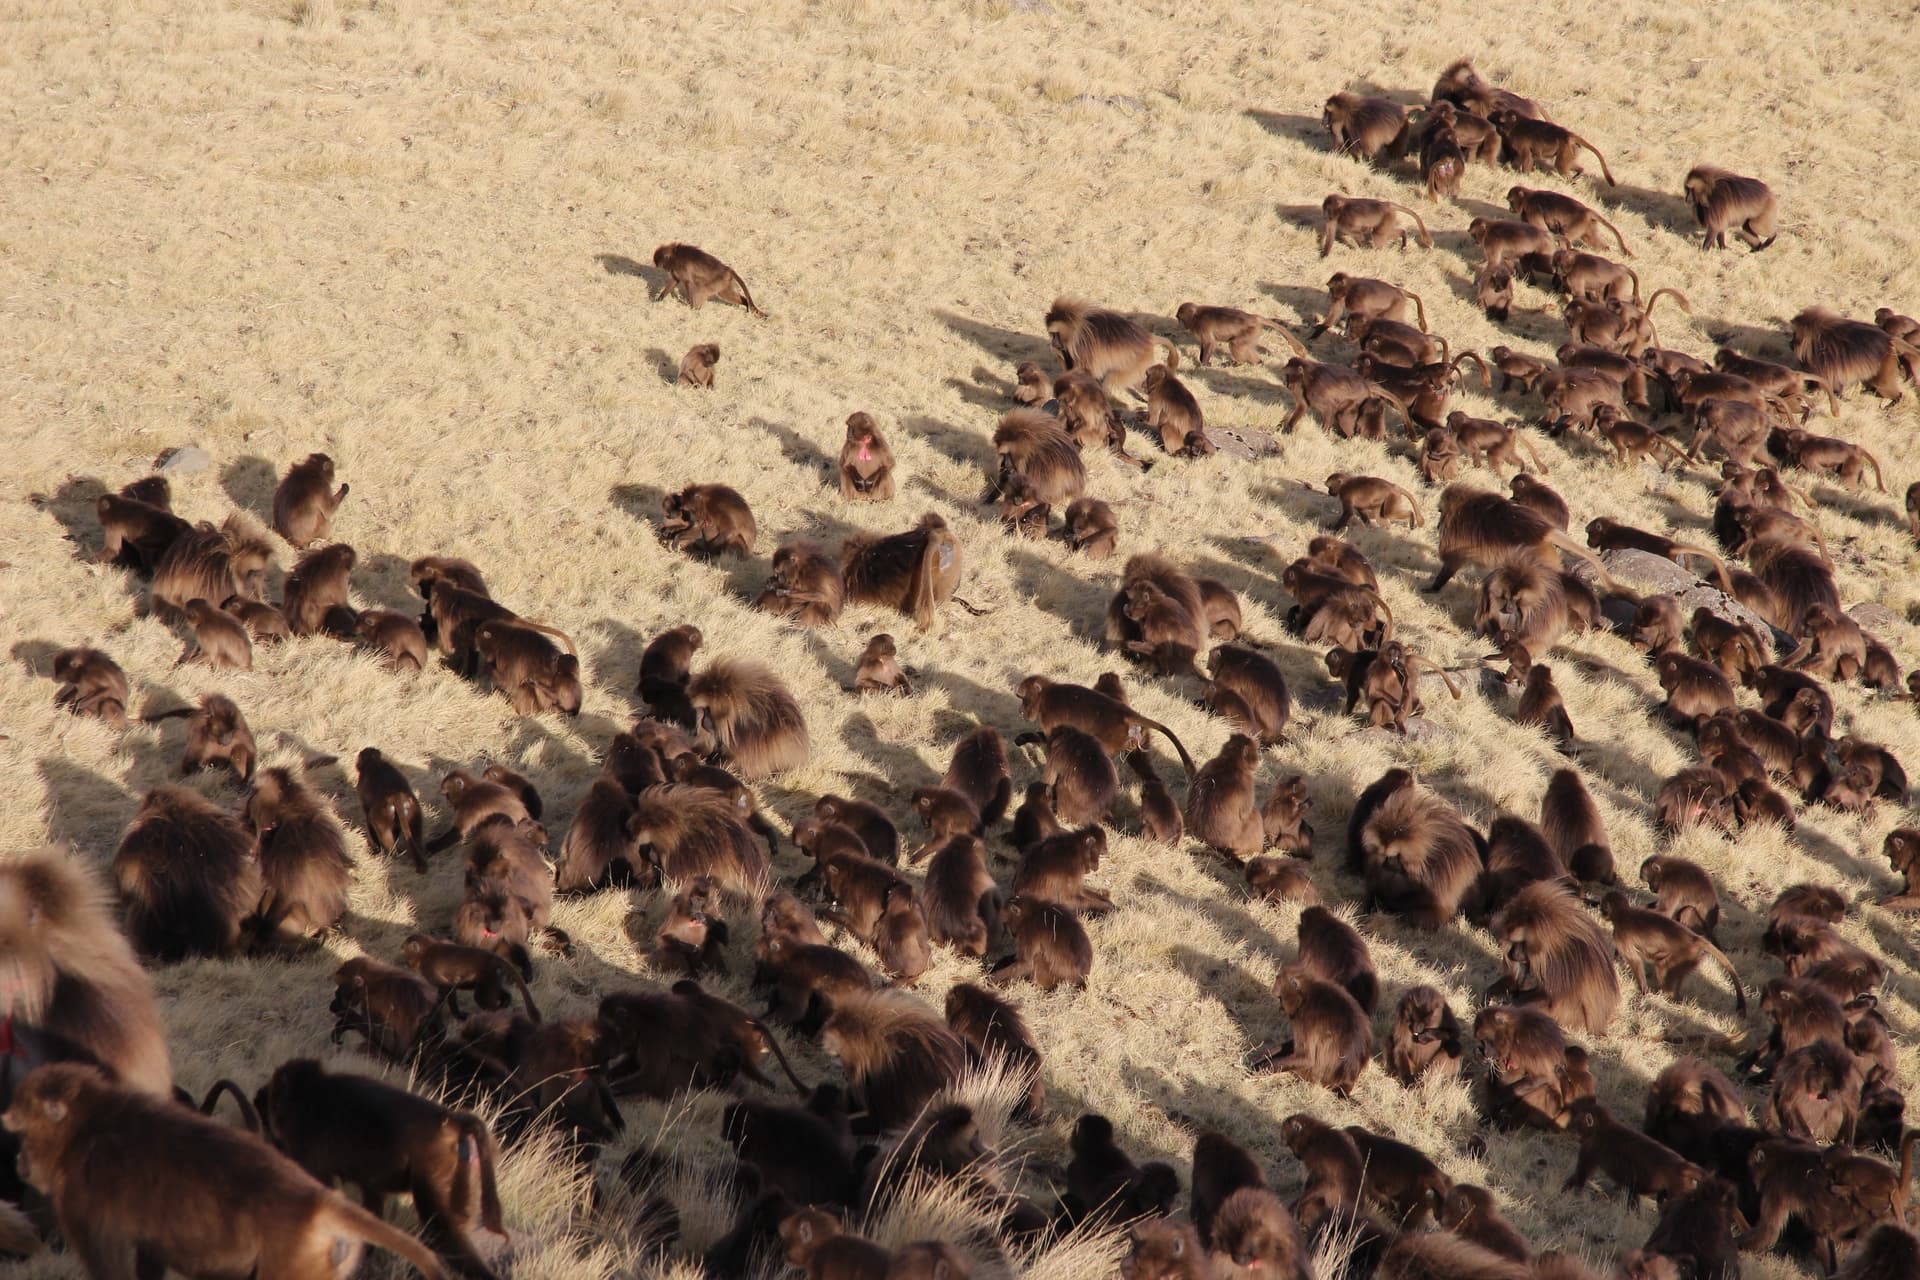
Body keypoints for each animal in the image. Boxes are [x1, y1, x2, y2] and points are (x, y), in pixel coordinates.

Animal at [1015, 675, 1196, 778]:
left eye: (1023, 699)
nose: (1021, 711)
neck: (1045, 696)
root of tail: (1126, 713)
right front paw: (1022, 739)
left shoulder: (1050, 716)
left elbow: (1053, 742)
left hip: (1115, 737)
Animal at [1044, 297, 1178, 395]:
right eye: (1052, 334)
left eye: (1056, 334)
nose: (1053, 343)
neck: (1077, 330)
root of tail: (1148, 338)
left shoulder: (1082, 349)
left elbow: (1084, 372)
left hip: (1135, 362)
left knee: (1110, 381)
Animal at [1174, 302, 1306, 366]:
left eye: (1180, 318)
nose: (1179, 324)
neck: (1196, 315)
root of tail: (1254, 317)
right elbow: (1205, 344)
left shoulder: (1202, 325)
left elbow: (1210, 343)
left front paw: (1204, 364)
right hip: (1253, 333)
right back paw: (1258, 362)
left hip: (1250, 331)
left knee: (1235, 344)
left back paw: (1238, 363)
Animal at [1601, 892, 1746, 1015]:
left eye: (1603, 907)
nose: (1602, 913)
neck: (1623, 914)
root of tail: (1694, 938)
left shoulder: (1620, 935)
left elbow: (1635, 962)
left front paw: (1644, 992)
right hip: (1691, 957)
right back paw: (1675, 998)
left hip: (1684, 954)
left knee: (1662, 967)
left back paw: (1668, 997)